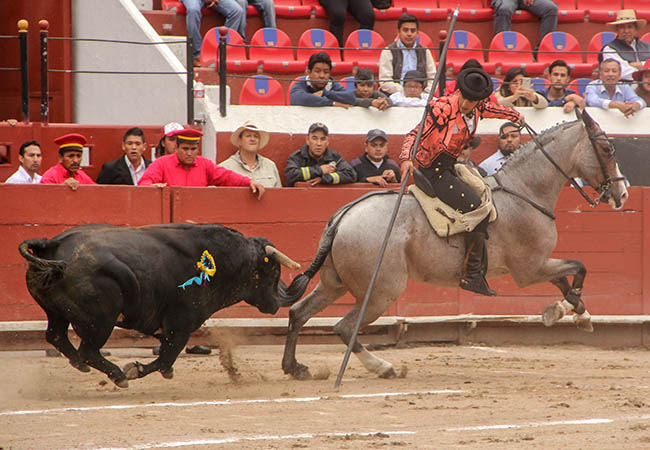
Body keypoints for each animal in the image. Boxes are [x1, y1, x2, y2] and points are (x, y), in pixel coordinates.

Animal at [18, 223, 302, 388]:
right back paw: (118, 375)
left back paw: (81, 365)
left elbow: (166, 353)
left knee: (56, 336)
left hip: (57, 313)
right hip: (100, 321)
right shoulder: (181, 324)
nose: (275, 304)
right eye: (273, 271)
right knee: (87, 349)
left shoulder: (165, 325)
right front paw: (137, 370)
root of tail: (52, 244)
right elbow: (167, 356)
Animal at [280, 109, 624, 380]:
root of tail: (343, 216)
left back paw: (295, 367)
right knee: (344, 327)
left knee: (299, 312)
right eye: (607, 148)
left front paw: (577, 314)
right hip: (381, 291)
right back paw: (384, 367)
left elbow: (568, 280)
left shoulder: (539, 265)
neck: (524, 191)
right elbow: (579, 267)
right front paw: (565, 312)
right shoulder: (529, 269)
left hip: (334, 283)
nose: (622, 194)